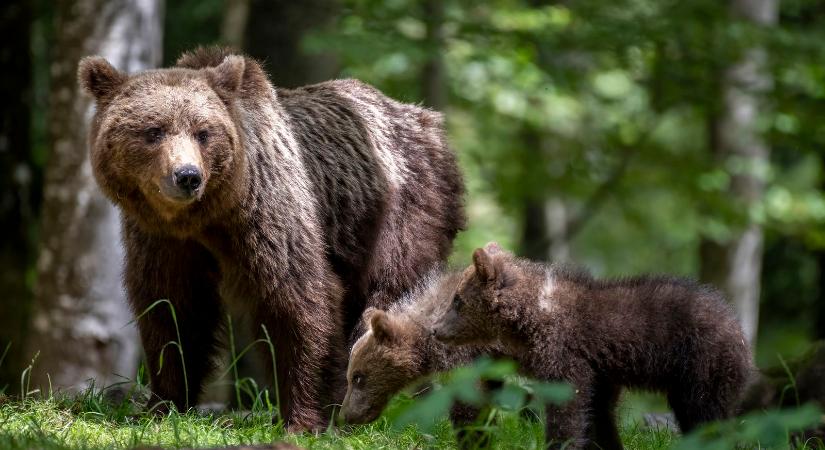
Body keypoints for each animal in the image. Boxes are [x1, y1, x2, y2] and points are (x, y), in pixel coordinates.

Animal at [77, 47, 464, 430]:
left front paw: (304, 416)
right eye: (154, 131)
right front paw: (163, 403)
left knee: (394, 292)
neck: (207, 218)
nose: (187, 176)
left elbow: (299, 299)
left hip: (400, 211)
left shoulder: (269, 215)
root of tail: (427, 120)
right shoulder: (163, 240)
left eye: (203, 132)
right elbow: (172, 310)